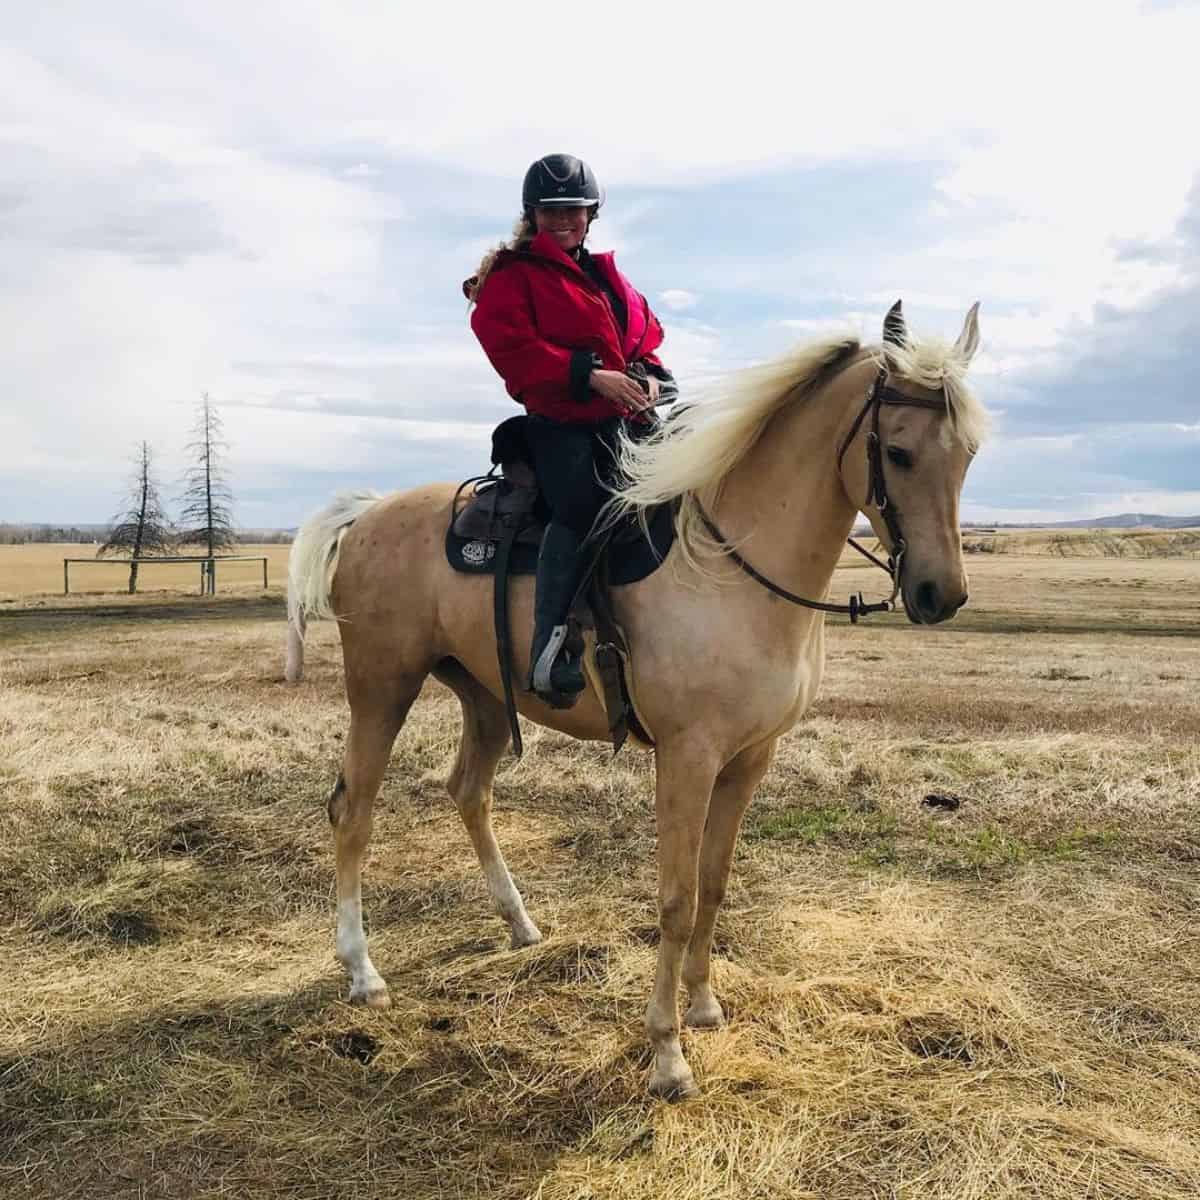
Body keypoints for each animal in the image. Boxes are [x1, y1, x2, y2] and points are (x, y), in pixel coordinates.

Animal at [288, 300, 984, 1099]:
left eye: (967, 453)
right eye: (897, 452)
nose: (941, 594)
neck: (732, 569)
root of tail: (369, 513)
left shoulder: (751, 758)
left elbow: (714, 883)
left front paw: (705, 1006)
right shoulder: (687, 758)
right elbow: (676, 900)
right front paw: (667, 1053)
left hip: (484, 695)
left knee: (468, 791)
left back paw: (520, 924)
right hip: (381, 690)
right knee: (353, 811)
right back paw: (362, 971)